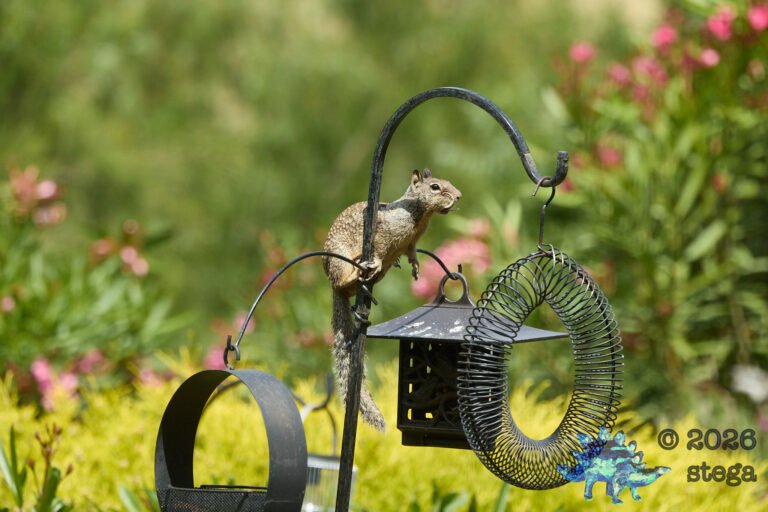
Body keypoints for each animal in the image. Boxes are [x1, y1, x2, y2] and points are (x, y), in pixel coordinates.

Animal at [323, 168, 462, 431]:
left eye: (448, 182)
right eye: (435, 187)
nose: (458, 196)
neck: (420, 215)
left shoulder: (411, 242)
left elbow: (412, 253)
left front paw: (415, 266)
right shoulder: (383, 232)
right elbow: (379, 247)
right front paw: (376, 260)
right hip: (339, 261)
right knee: (342, 280)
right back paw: (358, 269)